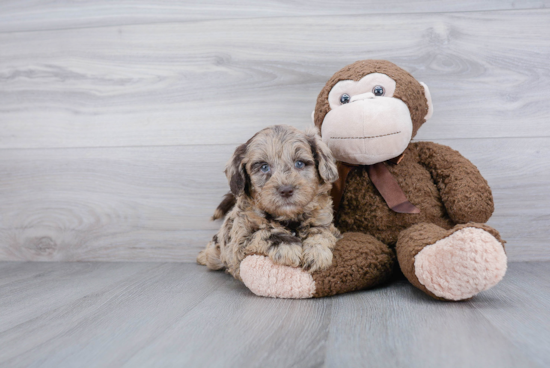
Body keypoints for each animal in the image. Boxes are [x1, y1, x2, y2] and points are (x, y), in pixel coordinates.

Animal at [198, 125, 342, 280]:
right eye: (264, 167)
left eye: (299, 163)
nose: (286, 190)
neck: (288, 218)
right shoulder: (238, 244)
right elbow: (264, 233)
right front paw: (288, 247)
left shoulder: (326, 224)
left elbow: (321, 233)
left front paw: (316, 253)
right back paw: (202, 256)